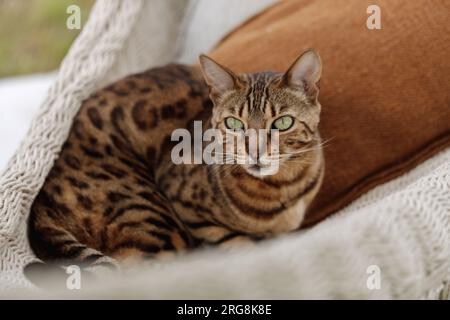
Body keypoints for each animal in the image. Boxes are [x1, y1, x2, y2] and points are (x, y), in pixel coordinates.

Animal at [27, 48, 324, 272]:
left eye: (283, 123)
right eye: (234, 124)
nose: (255, 150)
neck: (283, 188)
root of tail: (37, 205)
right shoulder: (187, 207)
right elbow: (235, 242)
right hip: (153, 216)